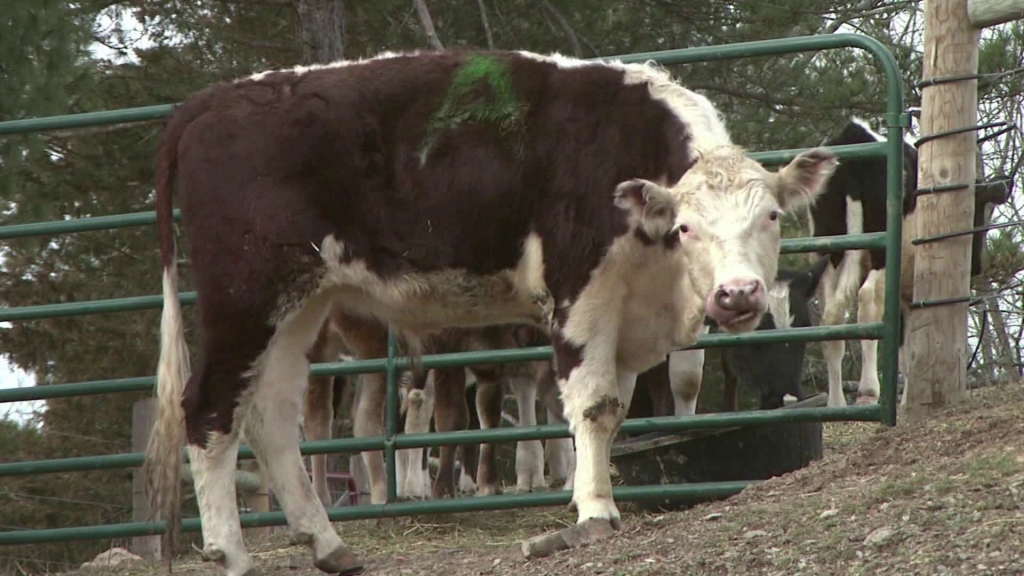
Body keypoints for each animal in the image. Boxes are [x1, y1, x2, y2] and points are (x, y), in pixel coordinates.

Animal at [144, 49, 835, 573]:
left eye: (772, 216)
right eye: (688, 226)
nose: (738, 294)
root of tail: (213, 101)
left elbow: (615, 409)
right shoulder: (581, 293)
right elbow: (593, 405)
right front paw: (595, 513)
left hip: (300, 305)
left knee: (273, 414)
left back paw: (327, 542)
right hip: (244, 295)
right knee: (208, 409)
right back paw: (231, 553)